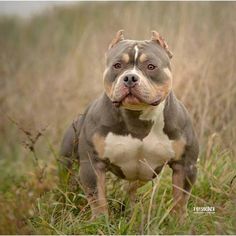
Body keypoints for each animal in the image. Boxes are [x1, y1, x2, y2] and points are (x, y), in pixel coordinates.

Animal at [60, 30, 199, 220]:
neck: (137, 118)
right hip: (68, 162)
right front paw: (100, 221)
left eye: (151, 66)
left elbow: (180, 199)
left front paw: (178, 221)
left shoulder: (185, 165)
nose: (130, 78)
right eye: (117, 65)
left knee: (131, 188)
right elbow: (98, 199)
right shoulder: (92, 164)